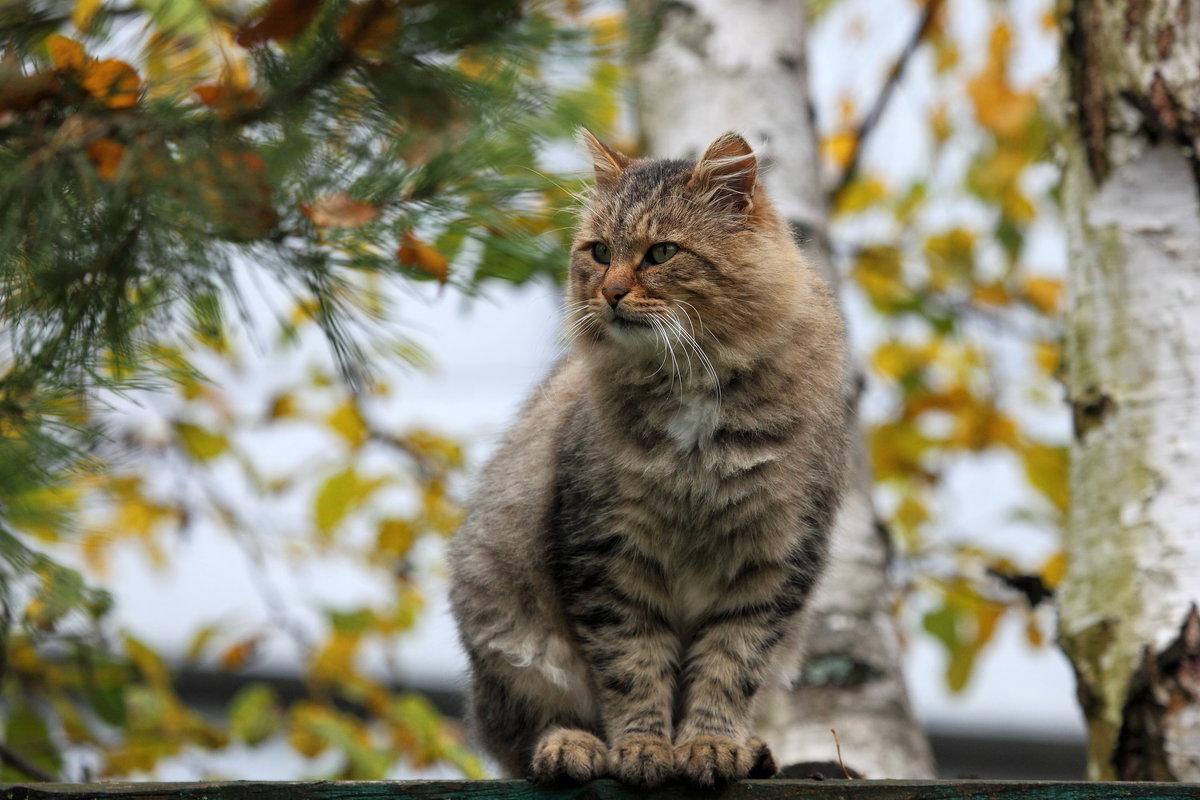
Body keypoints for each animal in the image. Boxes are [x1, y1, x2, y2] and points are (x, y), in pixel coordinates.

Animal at [451, 131, 854, 786]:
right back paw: (572, 749)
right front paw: (643, 751)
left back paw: (754, 752)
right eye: (599, 251)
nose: (610, 292)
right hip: (510, 640)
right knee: (529, 736)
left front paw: (710, 747)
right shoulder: (607, 556)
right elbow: (633, 670)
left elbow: (726, 672)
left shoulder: (773, 561)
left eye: (662, 252)